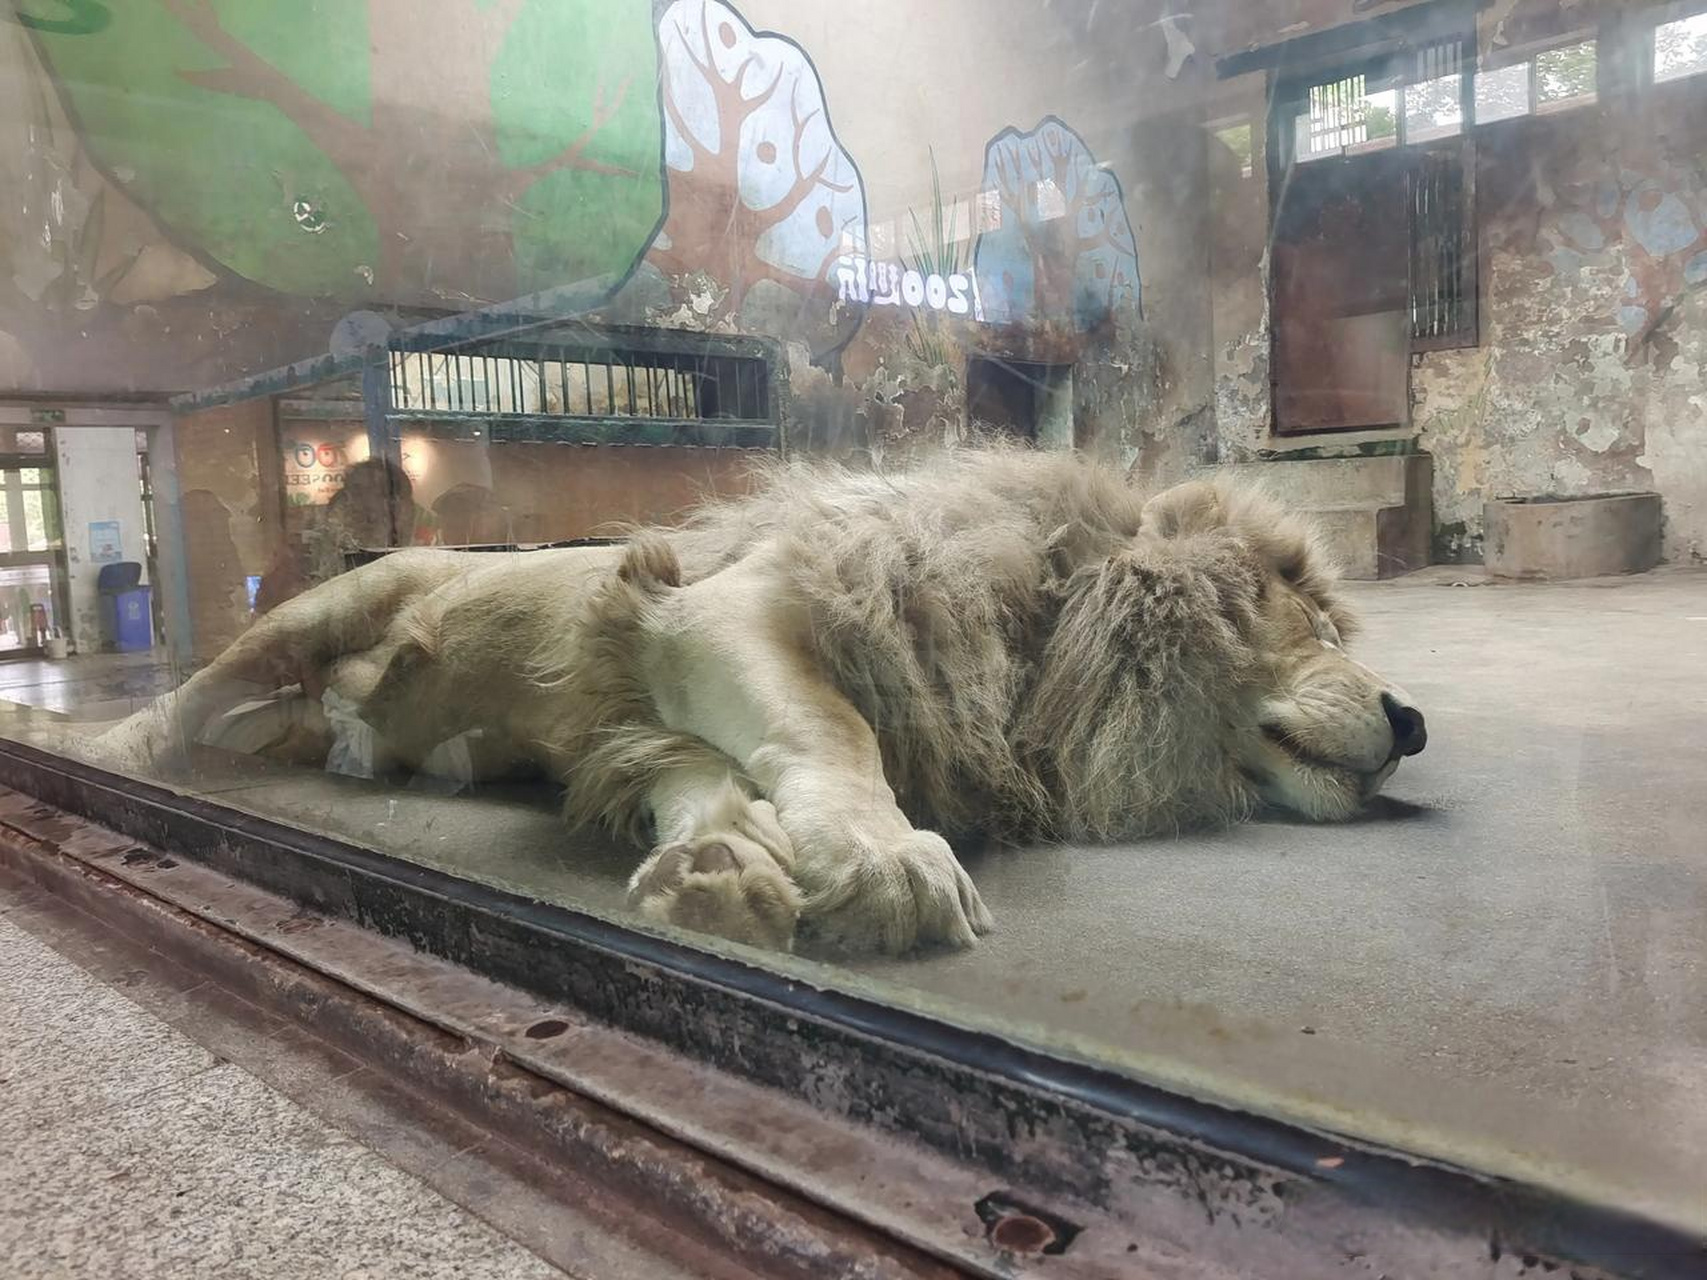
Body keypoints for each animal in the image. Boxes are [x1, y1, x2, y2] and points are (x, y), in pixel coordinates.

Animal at [93, 450, 1427, 955]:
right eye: (1312, 620)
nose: (1414, 722)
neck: (1034, 646)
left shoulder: (640, 719)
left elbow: (709, 777)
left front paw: (722, 869)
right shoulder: (722, 608)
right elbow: (833, 728)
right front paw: (891, 862)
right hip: (318, 612)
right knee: (193, 699)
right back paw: (115, 748)